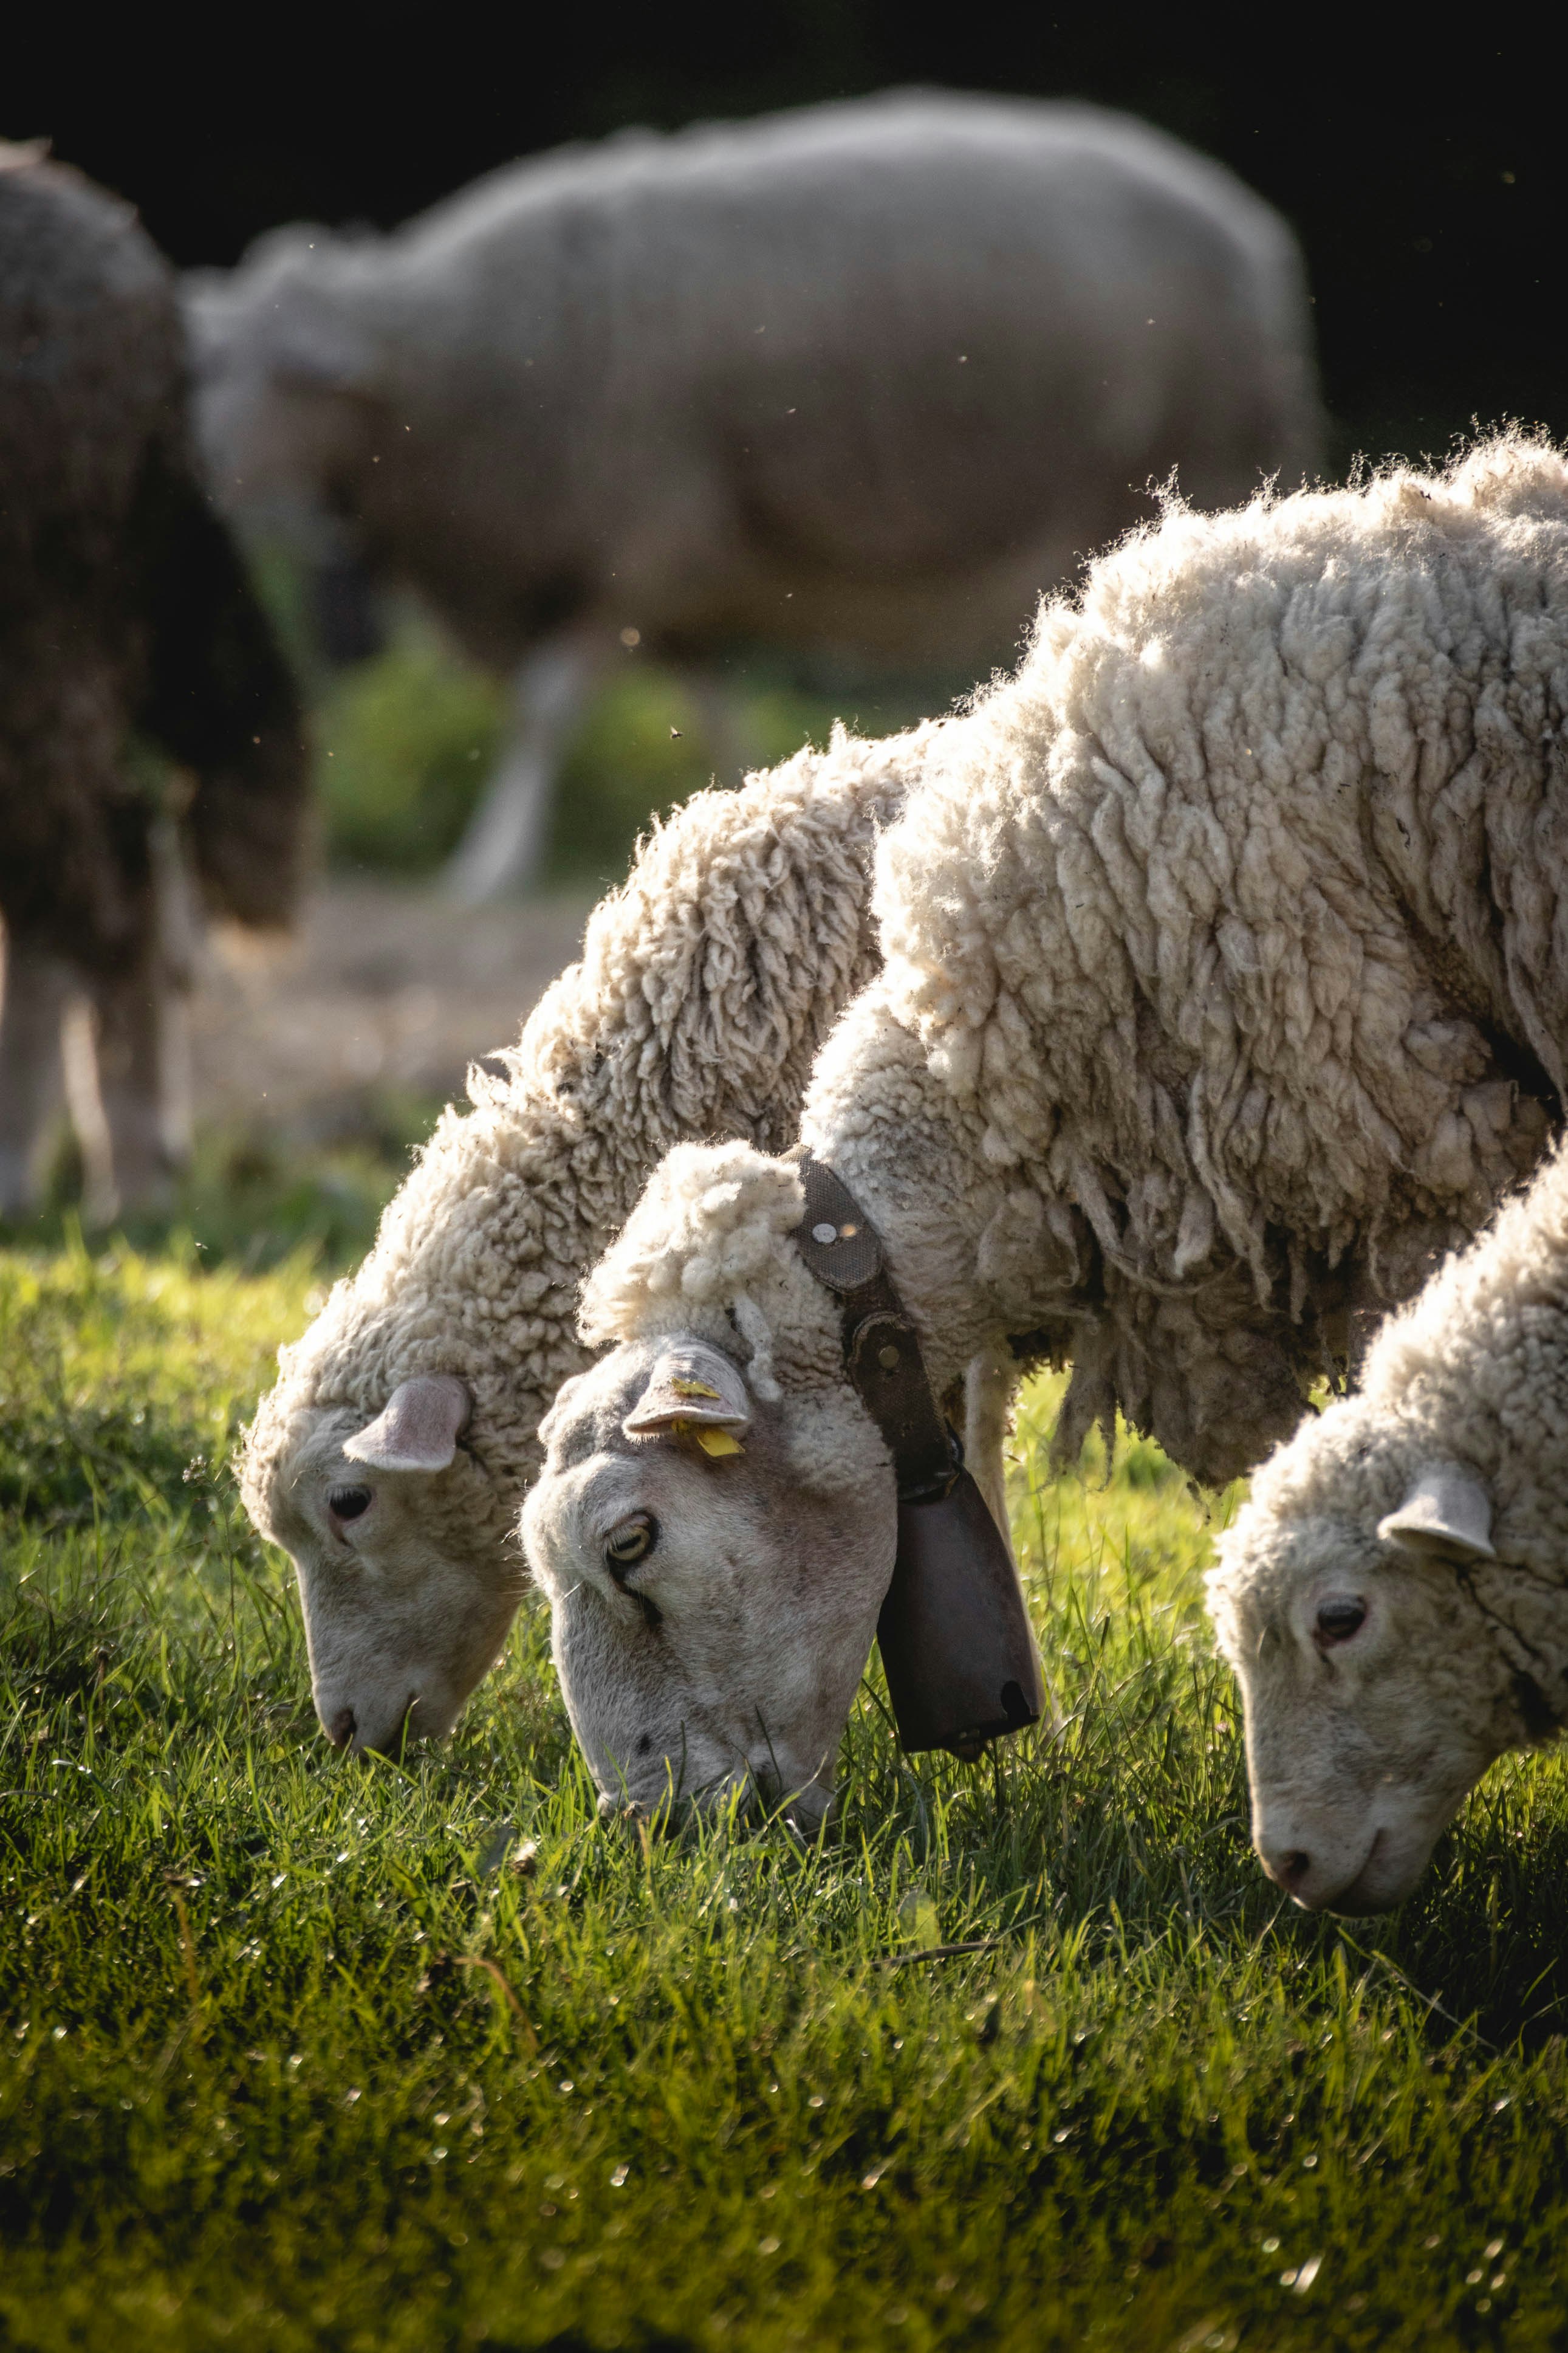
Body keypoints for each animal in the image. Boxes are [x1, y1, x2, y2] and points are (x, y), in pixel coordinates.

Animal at [187, 92, 1326, 899]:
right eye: (209, 361)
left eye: (271, 372)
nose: (194, 472)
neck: (449, 362)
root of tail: (1247, 224)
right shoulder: (683, 576)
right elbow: (712, 708)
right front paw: (747, 811)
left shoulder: (641, 536)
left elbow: (545, 714)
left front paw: (489, 865)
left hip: (1206, 457)